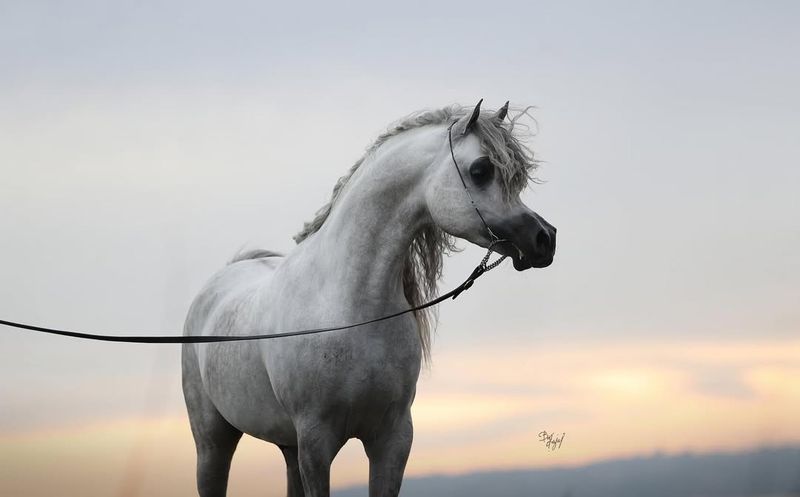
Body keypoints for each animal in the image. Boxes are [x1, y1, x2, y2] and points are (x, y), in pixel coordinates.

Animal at [181, 101, 556, 496]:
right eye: (481, 170)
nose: (545, 239)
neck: (351, 306)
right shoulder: (315, 444)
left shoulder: (392, 439)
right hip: (213, 443)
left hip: (287, 446)